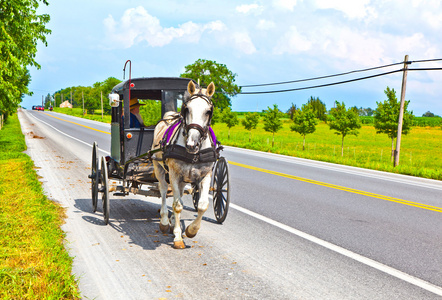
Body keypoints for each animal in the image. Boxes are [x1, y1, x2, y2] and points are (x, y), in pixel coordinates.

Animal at [151, 79, 217, 248]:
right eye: (187, 109)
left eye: (208, 111)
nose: (192, 144)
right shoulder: (174, 174)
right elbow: (177, 205)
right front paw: (177, 237)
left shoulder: (205, 175)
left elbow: (202, 205)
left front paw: (191, 230)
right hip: (159, 168)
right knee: (163, 191)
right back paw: (165, 221)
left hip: (183, 178)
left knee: (179, 194)